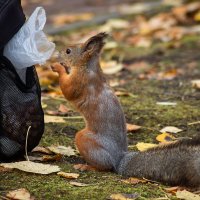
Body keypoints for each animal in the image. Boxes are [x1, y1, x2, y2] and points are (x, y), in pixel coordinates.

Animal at [51, 32, 200, 187]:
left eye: (68, 51)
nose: (57, 54)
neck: (87, 66)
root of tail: (119, 160)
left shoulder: (80, 81)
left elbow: (68, 90)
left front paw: (57, 67)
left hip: (85, 139)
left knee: (104, 166)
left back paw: (86, 166)